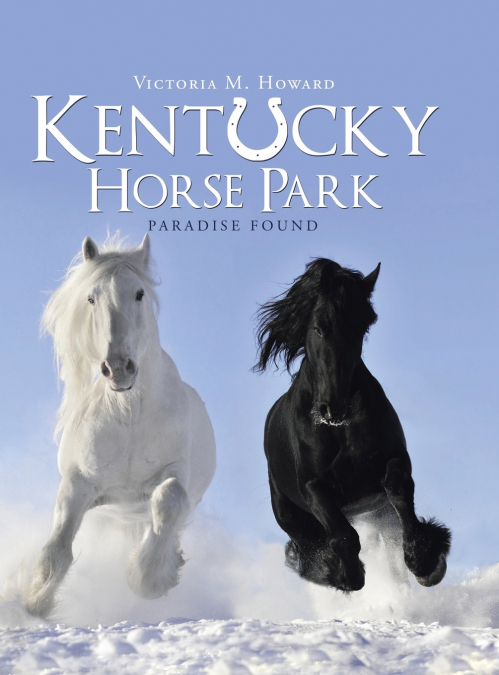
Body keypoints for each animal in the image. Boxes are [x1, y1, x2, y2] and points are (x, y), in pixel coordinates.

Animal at [26, 234, 216, 618]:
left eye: (139, 293)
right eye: (91, 297)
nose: (118, 368)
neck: (128, 415)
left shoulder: (176, 472)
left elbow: (169, 499)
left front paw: (148, 579)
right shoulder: (78, 484)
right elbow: (57, 550)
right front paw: (33, 603)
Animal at [254, 258, 451, 592]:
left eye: (361, 328)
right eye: (318, 327)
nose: (333, 408)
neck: (339, 430)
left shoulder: (393, 460)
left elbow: (399, 492)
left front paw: (426, 562)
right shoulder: (314, 487)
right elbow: (343, 536)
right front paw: (344, 574)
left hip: (379, 513)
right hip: (291, 515)